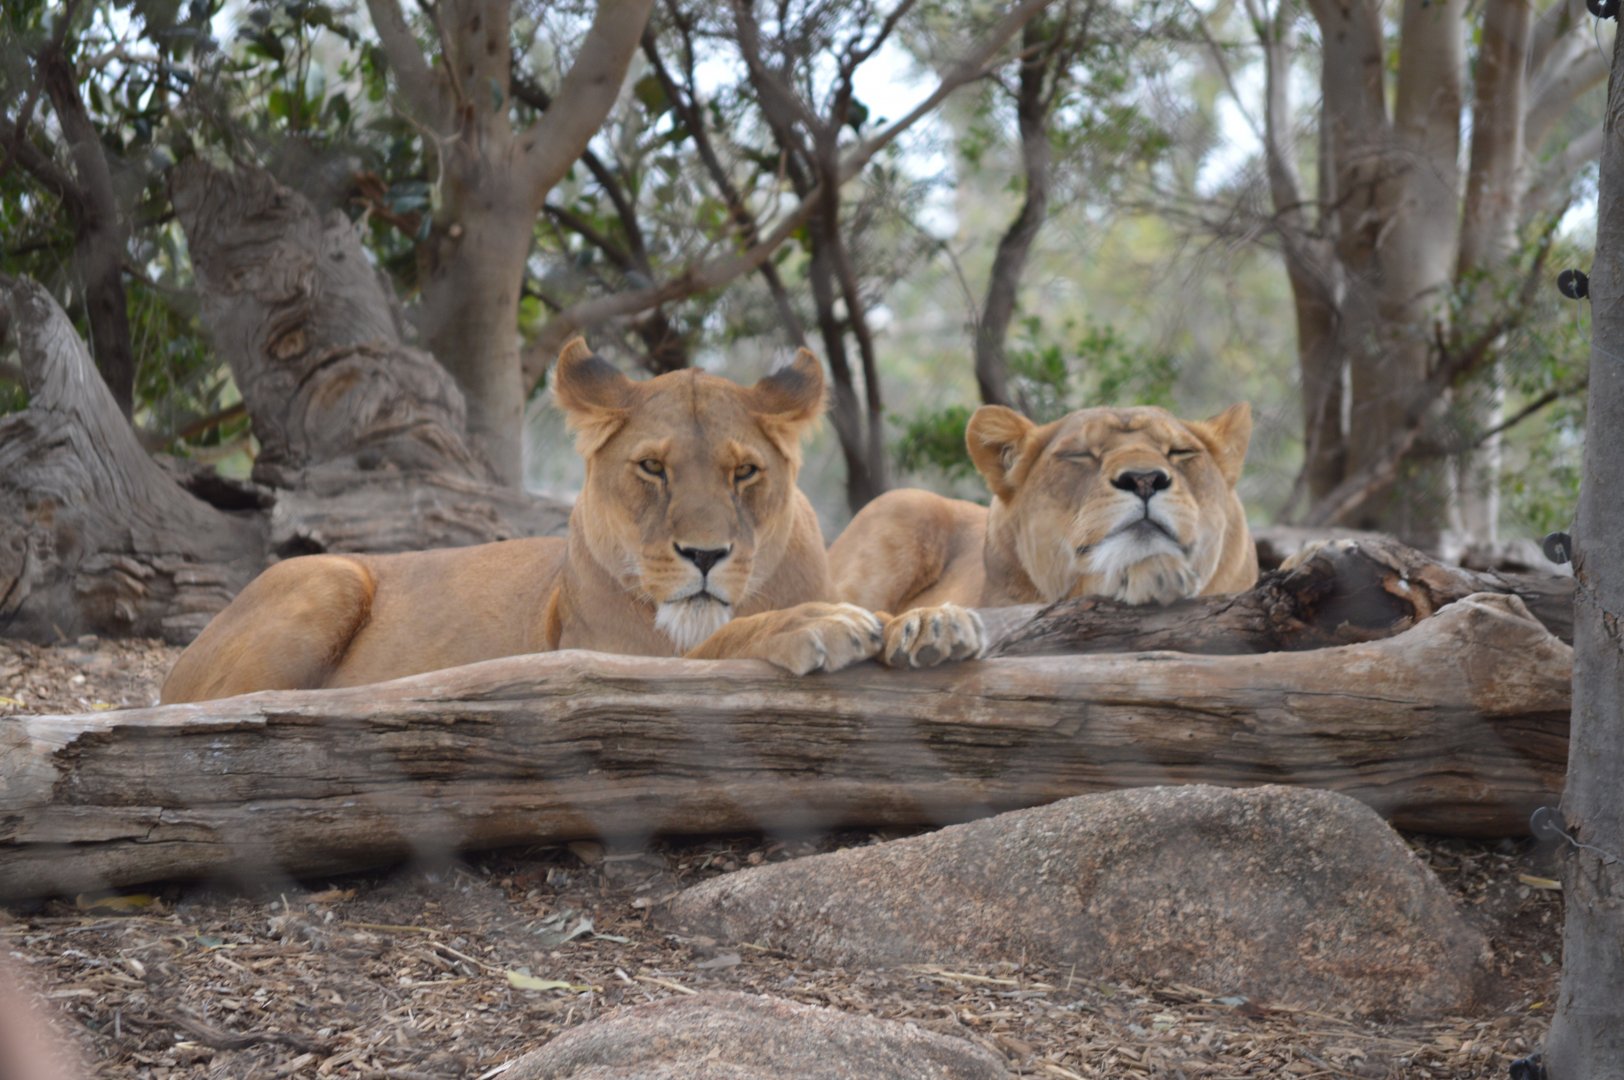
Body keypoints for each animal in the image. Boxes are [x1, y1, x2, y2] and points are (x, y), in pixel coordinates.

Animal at [160, 341, 982, 703]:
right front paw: (817, 624)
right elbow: (721, 635)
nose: (706, 555)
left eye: (744, 473)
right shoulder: (607, 652)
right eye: (652, 468)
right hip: (326, 576)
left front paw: (932, 624)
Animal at [829, 402, 1258, 612]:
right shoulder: (1003, 605)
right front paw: (1149, 572)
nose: (1144, 479)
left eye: (1180, 452)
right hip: (903, 505)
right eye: (1080, 455)